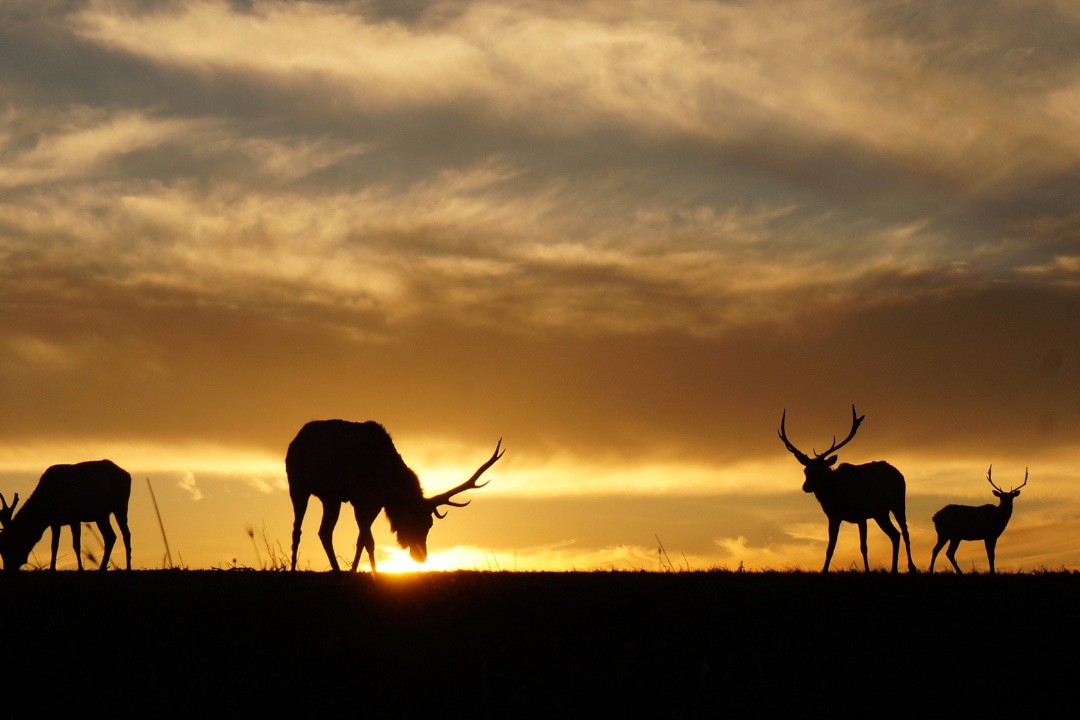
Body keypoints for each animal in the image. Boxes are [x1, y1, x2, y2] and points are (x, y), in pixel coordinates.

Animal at [0, 462, 132, 574]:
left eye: (9, 544)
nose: (8, 569)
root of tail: (128, 475)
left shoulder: (75, 517)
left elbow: (76, 545)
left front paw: (80, 568)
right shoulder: (55, 522)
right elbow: (54, 546)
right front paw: (52, 568)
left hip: (121, 505)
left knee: (126, 534)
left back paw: (128, 567)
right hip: (101, 515)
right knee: (110, 536)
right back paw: (102, 567)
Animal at [287, 418, 505, 569]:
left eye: (430, 524)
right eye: (413, 521)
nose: (421, 557)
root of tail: (295, 439)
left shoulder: (375, 504)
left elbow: (362, 540)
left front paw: (356, 572)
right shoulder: (360, 499)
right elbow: (368, 540)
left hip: (331, 497)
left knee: (324, 531)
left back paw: (337, 572)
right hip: (298, 485)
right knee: (298, 529)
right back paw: (293, 571)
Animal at [781, 405, 915, 574]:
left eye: (821, 470)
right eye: (806, 470)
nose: (806, 487)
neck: (838, 496)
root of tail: (898, 472)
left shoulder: (861, 514)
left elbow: (864, 547)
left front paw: (868, 571)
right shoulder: (834, 517)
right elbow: (830, 548)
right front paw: (824, 570)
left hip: (898, 503)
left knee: (905, 531)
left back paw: (911, 567)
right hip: (880, 513)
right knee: (895, 535)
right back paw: (894, 569)